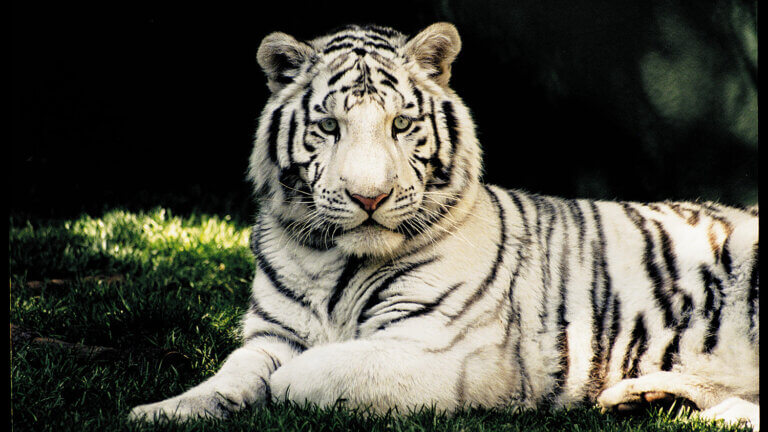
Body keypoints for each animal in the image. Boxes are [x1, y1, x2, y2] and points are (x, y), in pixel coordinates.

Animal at [129, 22, 760, 428]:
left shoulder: (434, 347)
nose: (369, 196)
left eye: (401, 124)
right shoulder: (269, 336)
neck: (333, 263)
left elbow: (299, 378)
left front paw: (279, 392)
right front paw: (158, 411)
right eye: (329, 127)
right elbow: (226, 379)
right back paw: (647, 400)